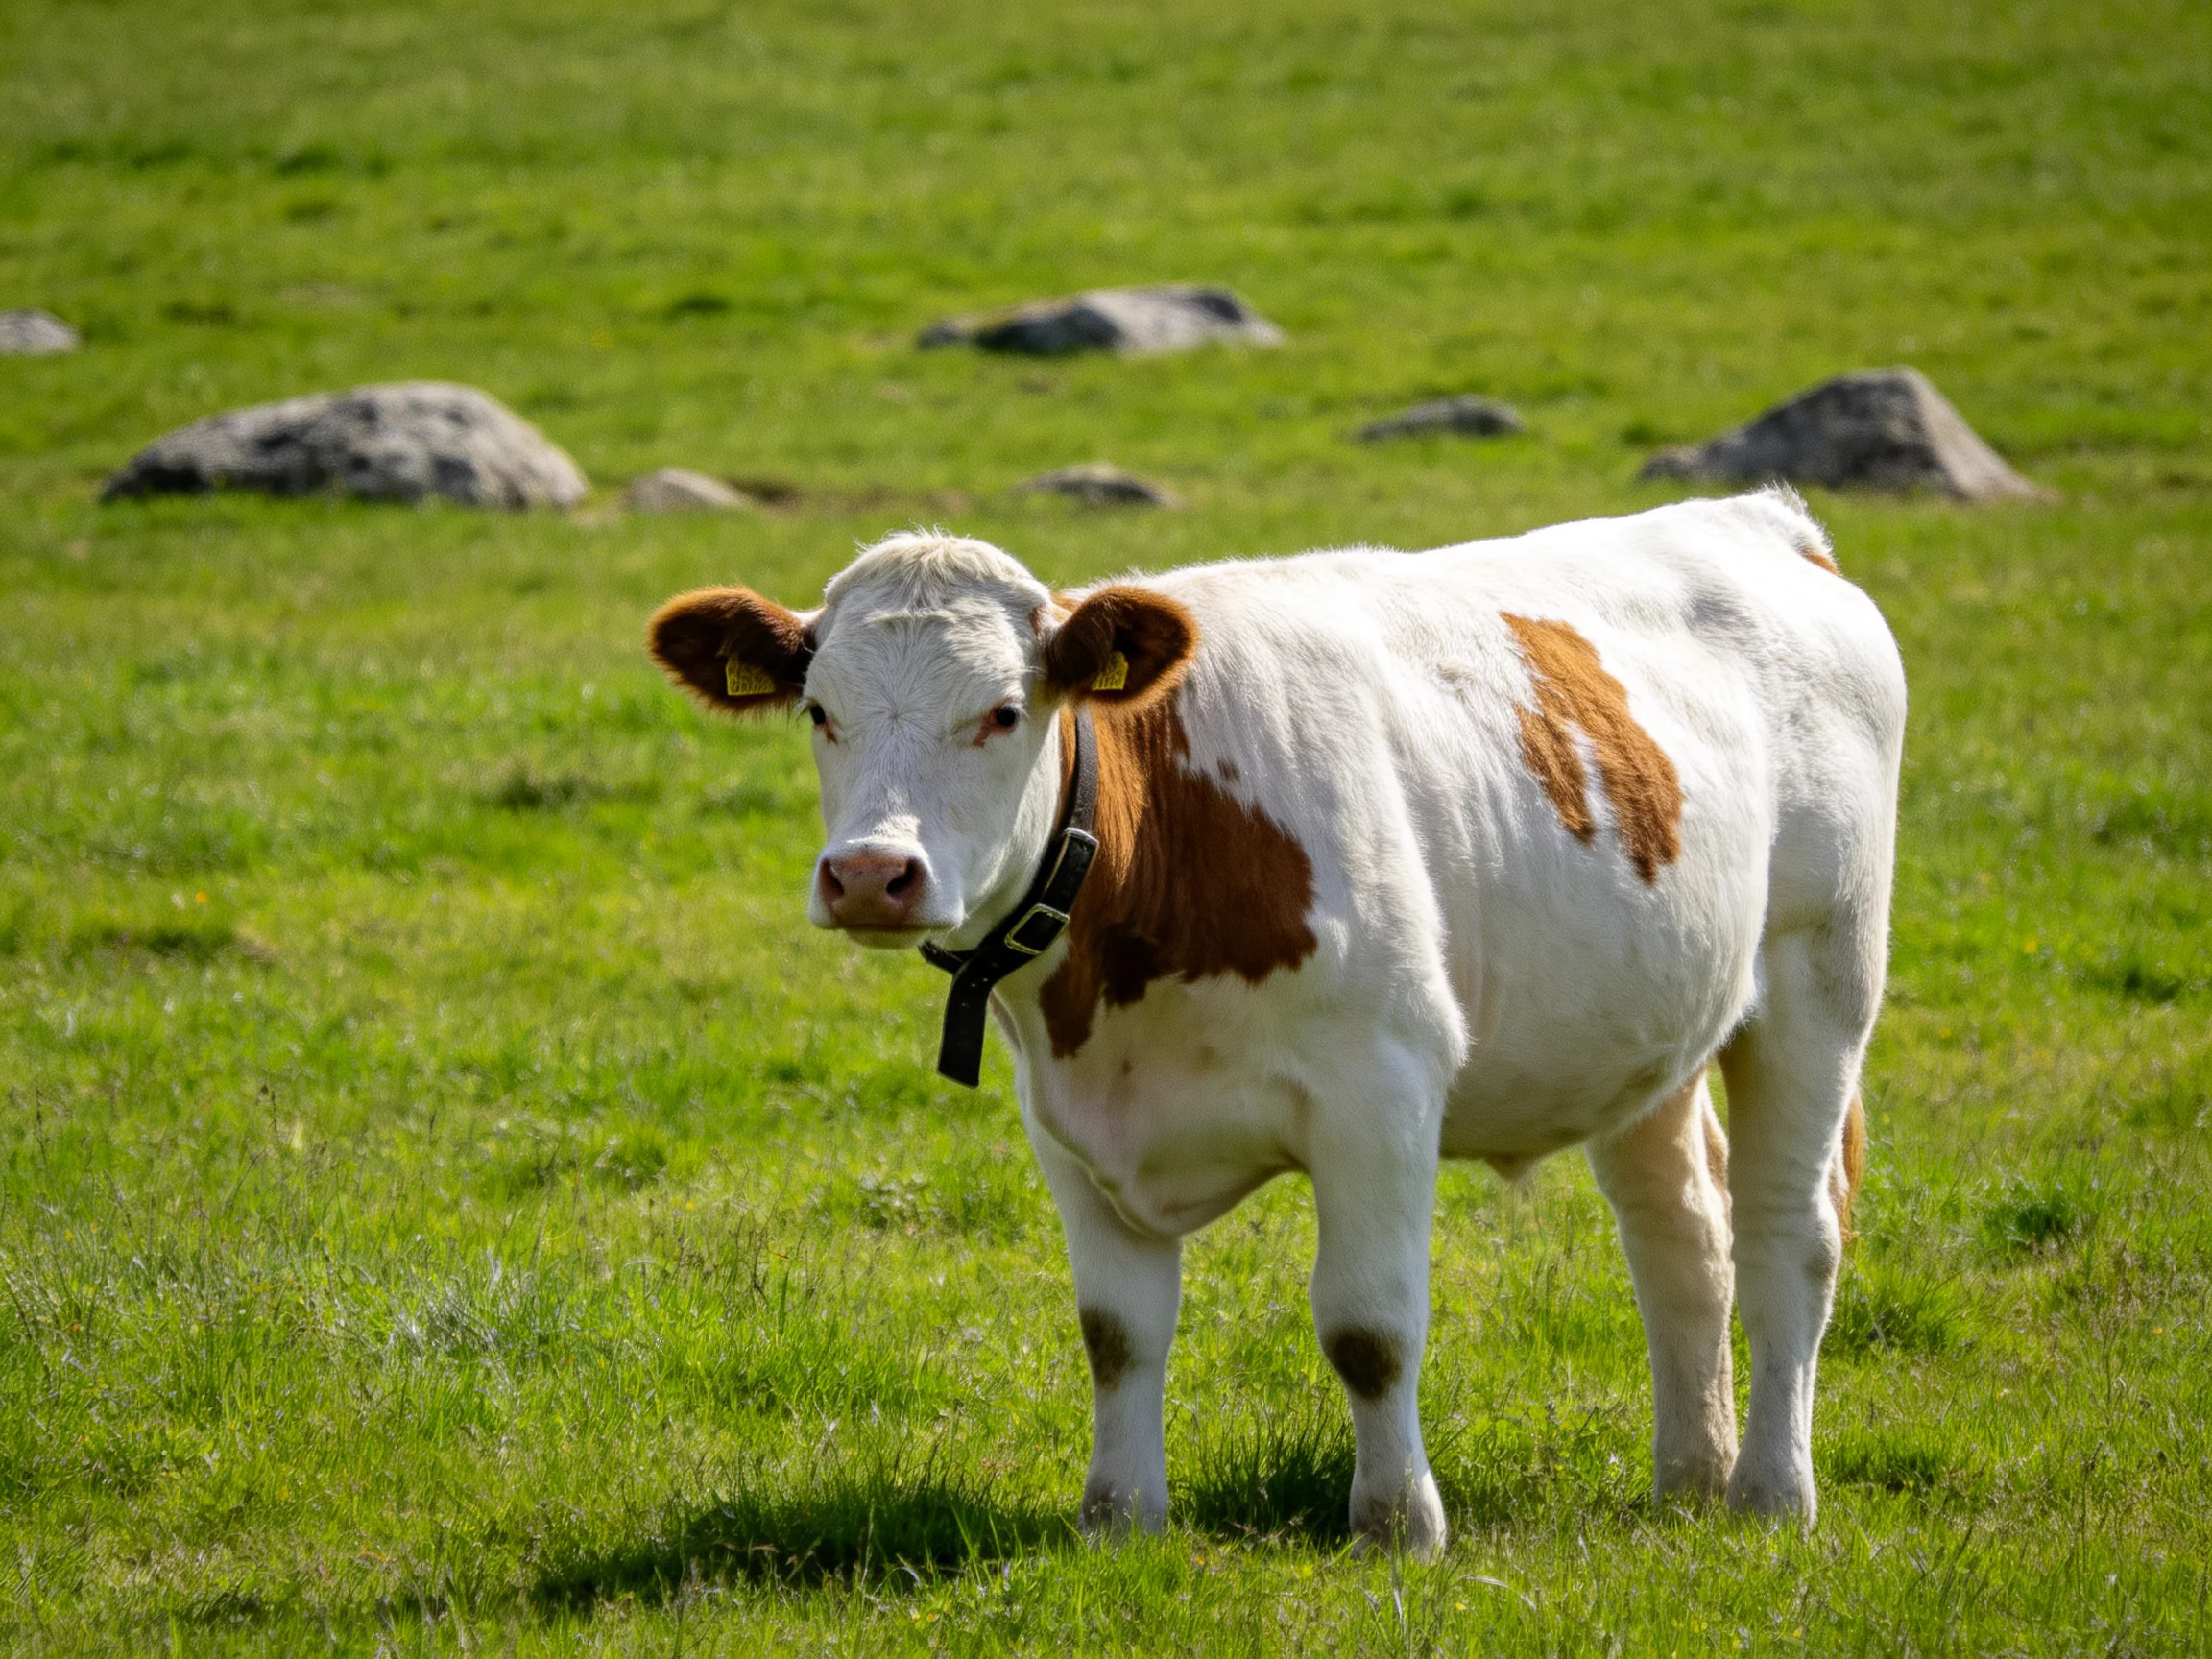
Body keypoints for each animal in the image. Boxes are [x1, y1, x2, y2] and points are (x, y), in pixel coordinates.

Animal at [646, 488, 1904, 1558]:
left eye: (1001, 713)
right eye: (821, 712)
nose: (870, 874)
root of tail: (1762, 517)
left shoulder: (1381, 1092)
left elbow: (1369, 1328)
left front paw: (1398, 1526)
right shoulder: (1066, 1126)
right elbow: (1116, 1331)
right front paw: (1120, 1521)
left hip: (1820, 978)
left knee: (1787, 1235)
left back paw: (1770, 1496)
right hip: (1647, 1030)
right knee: (1680, 1238)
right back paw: (1690, 1479)